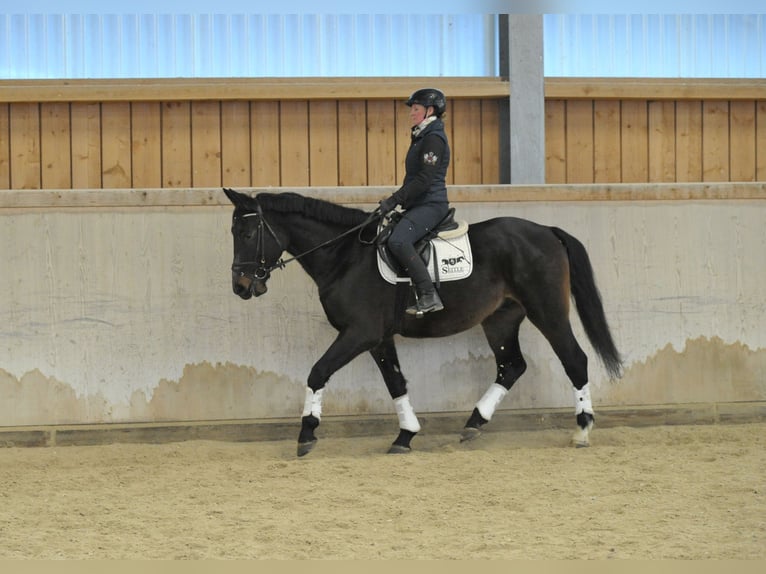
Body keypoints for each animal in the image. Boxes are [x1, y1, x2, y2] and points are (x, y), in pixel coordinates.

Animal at [223, 188, 623, 456]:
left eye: (246, 233)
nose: (240, 286)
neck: (345, 256)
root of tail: (546, 230)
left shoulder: (359, 333)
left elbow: (318, 372)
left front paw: (306, 434)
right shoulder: (378, 338)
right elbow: (396, 383)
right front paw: (406, 435)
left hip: (547, 310)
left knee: (574, 360)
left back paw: (582, 431)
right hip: (501, 318)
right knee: (511, 365)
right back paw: (473, 423)